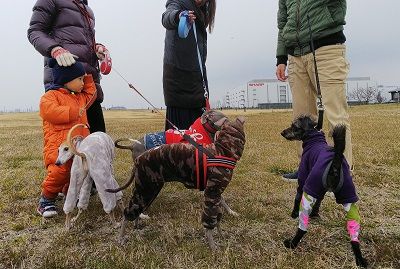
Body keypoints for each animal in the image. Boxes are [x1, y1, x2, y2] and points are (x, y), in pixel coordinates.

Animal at [280, 115, 368, 268]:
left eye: (294, 126)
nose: (282, 132)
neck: (313, 138)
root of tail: (335, 164)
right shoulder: (320, 191)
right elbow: (319, 201)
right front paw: (315, 214)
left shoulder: (303, 179)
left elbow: (296, 197)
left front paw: (293, 214)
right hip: (349, 202)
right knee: (354, 237)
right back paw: (360, 259)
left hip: (308, 194)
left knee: (302, 228)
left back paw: (291, 244)